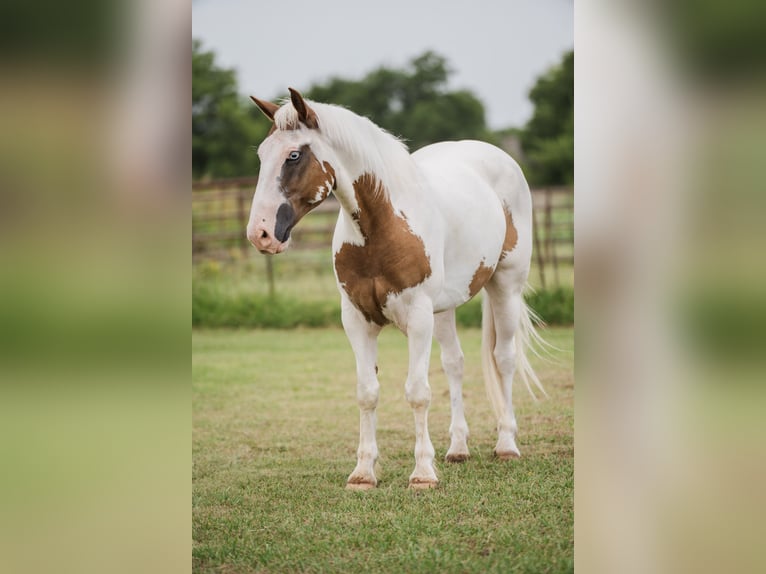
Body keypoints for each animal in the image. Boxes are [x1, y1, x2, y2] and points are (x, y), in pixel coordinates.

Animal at [246, 88, 546, 490]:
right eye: (262, 155)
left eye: (294, 155)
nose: (260, 233)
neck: (383, 224)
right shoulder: (357, 320)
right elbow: (367, 393)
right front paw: (363, 472)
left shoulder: (418, 318)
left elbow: (417, 393)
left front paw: (422, 473)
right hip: (445, 308)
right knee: (455, 364)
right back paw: (458, 448)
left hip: (505, 286)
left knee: (504, 359)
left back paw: (507, 444)